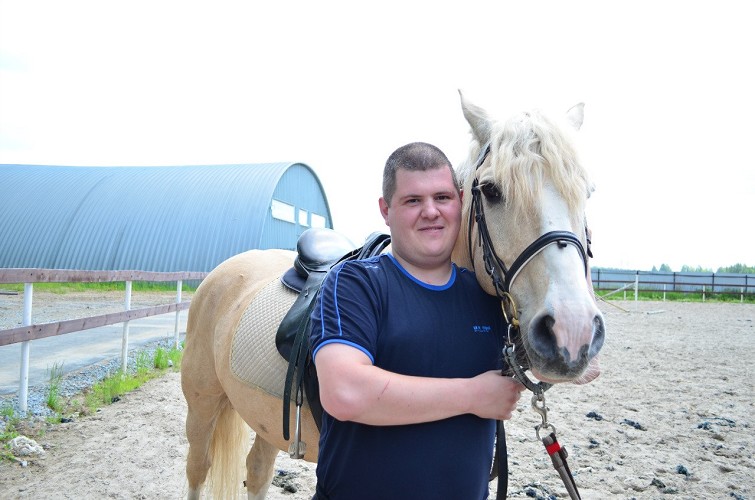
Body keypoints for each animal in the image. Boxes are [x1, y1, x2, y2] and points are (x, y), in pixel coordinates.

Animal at [180, 94, 604, 500]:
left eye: (587, 192)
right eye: (492, 190)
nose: (573, 332)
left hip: (268, 420)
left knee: (257, 470)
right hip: (202, 407)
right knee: (198, 470)